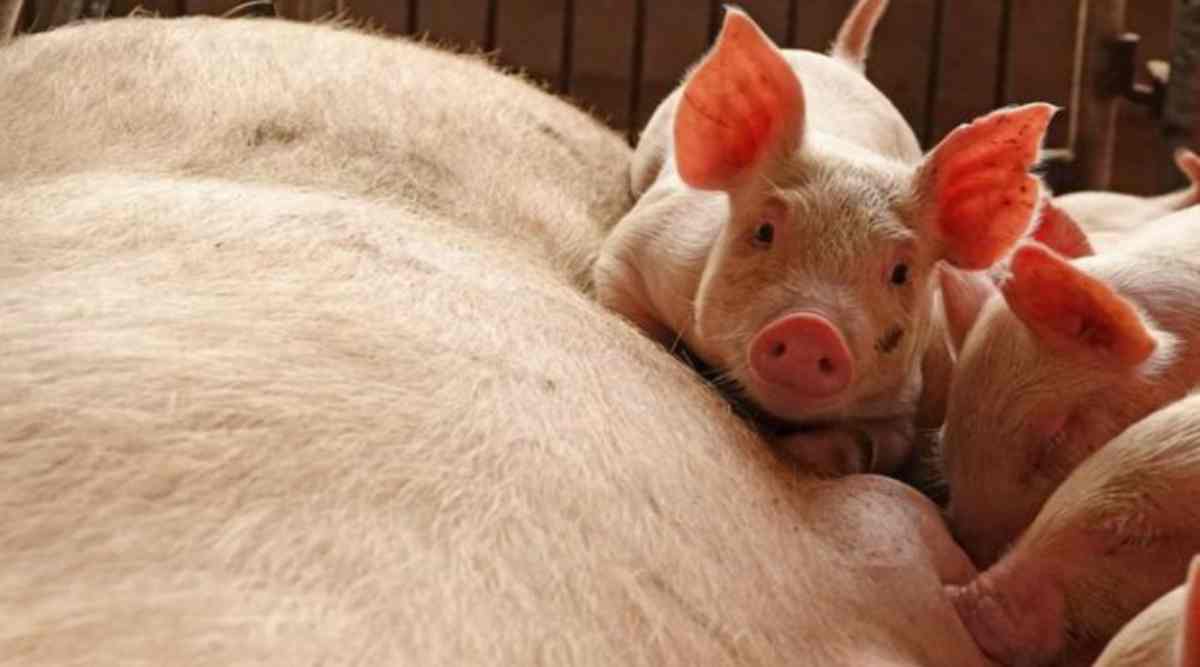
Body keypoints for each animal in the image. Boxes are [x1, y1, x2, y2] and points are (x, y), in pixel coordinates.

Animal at [592, 0, 1055, 476]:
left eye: (901, 272)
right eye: (764, 231)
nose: (811, 327)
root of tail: (844, 60)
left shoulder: (901, 402)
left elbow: (881, 444)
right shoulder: (640, 247)